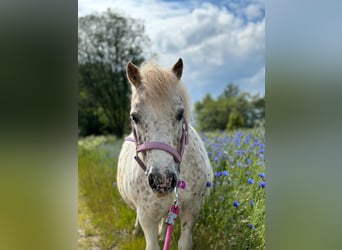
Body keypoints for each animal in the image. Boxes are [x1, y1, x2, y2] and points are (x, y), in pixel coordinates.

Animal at [118, 59, 214, 250]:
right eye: (134, 117)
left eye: (180, 114)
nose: (162, 179)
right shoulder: (147, 217)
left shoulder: (191, 212)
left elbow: (184, 243)